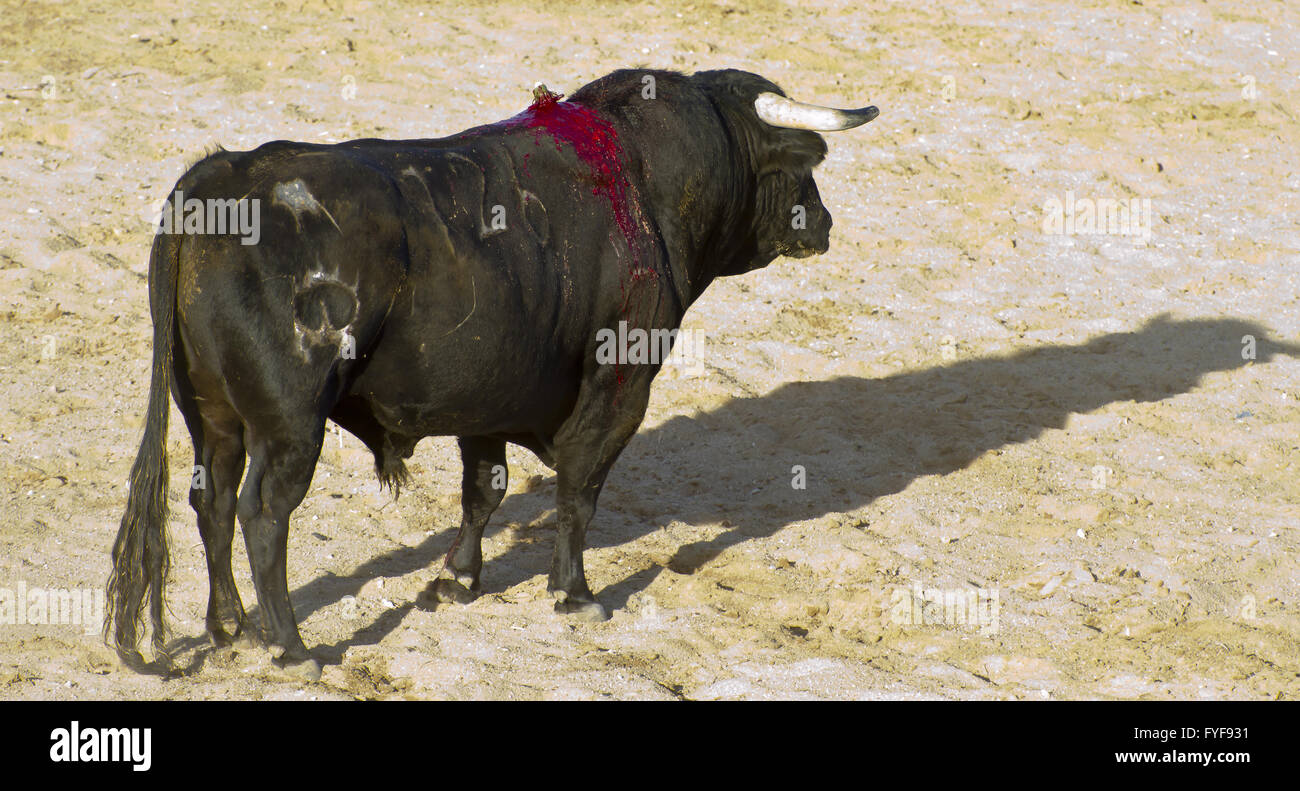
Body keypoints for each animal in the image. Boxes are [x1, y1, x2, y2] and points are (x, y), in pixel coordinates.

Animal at [106, 67, 878, 676]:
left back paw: (228, 625)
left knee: (211, 499)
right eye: (802, 170)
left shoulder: (487, 396)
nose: (824, 224)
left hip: (212, 414)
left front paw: (456, 579)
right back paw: (290, 646)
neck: (645, 183)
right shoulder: (618, 386)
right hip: (291, 425)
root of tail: (223, 173)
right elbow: (579, 489)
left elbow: (484, 490)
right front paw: (574, 592)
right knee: (263, 513)